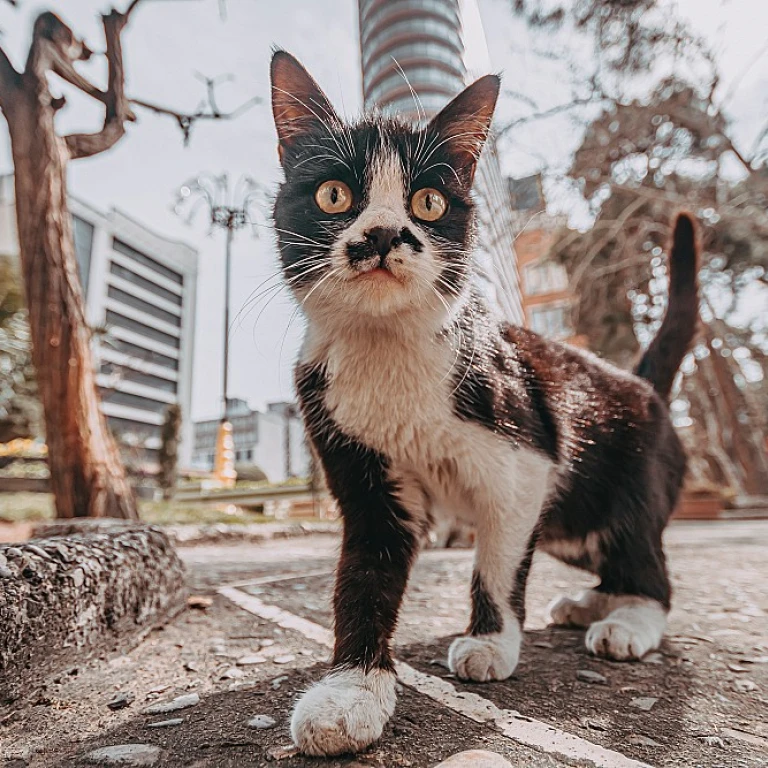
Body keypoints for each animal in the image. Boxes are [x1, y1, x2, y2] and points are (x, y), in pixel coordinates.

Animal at [268, 51, 700, 760]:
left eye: (429, 200)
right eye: (334, 194)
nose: (383, 234)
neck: (388, 349)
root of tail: (642, 383)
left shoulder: (526, 463)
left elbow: (496, 564)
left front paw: (491, 641)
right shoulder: (362, 474)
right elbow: (362, 578)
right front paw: (351, 692)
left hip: (626, 484)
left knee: (648, 564)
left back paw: (627, 622)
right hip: (573, 523)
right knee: (605, 555)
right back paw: (590, 602)